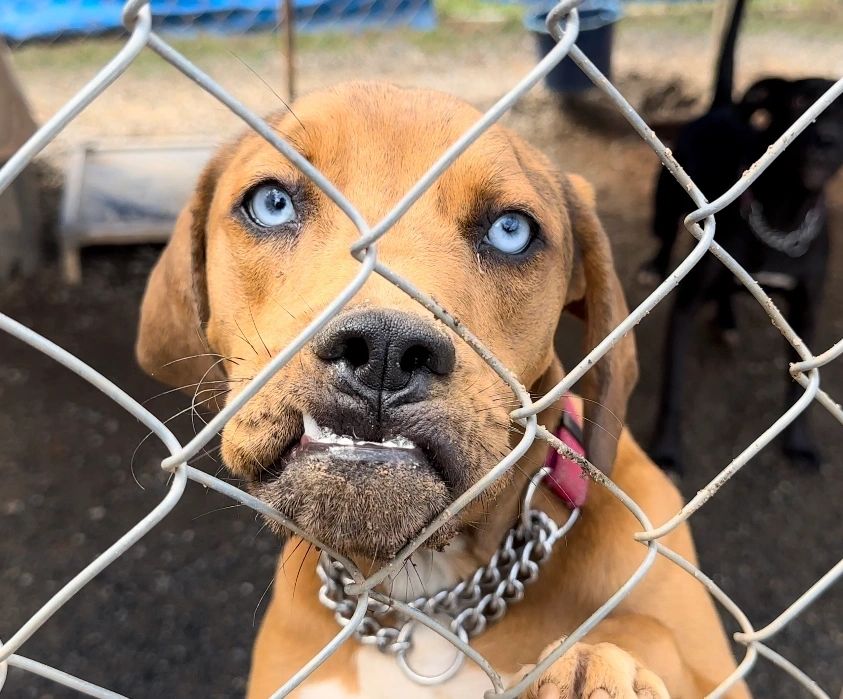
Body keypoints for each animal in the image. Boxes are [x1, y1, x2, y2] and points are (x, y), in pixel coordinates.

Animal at [138, 83, 752, 699]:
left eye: (511, 230)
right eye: (272, 203)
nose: (384, 348)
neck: (424, 601)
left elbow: (650, 630)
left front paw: (591, 665)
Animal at [640, 0, 843, 476]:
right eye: (799, 100)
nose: (827, 140)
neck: (784, 219)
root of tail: (725, 109)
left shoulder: (805, 316)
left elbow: (801, 390)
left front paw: (799, 444)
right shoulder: (684, 305)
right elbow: (672, 391)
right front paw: (666, 452)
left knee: (728, 292)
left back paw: (728, 320)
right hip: (665, 203)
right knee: (664, 237)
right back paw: (656, 267)